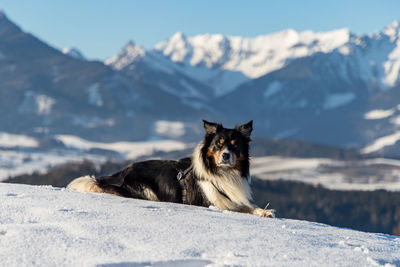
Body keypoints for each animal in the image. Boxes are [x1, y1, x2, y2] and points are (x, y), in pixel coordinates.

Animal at [68, 120, 276, 219]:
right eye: (218, 144)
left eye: (235, 146)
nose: (226, 156)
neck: (222, 173)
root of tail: (120, 173)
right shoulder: (210, 202)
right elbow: (239, 209)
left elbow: (249, 207)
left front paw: (265, 212)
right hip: (145, 189)